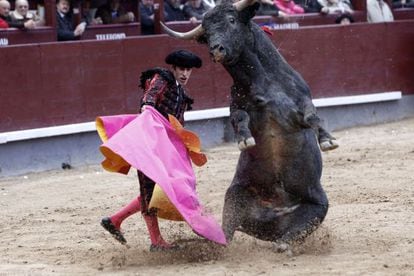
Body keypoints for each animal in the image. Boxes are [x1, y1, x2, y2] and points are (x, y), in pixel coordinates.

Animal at [162, 1, 326, 245]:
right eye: (206, 33)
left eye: (232, 20)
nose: (216, 50)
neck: (263, 83)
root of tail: (273, 218)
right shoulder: (236, 108)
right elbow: (240, 118)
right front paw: (245, 140)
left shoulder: (301, 102)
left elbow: (311, 117)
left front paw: (327, 140)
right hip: (234, 197)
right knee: (227, 234)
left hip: (319, 206)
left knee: (295, 233)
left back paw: (283, 244)